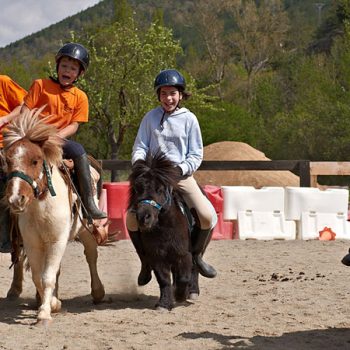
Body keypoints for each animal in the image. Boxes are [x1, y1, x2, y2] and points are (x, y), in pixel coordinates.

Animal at [129, 152, 200, 310]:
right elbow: (164, 280)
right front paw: (164, 303)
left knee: (195, 265)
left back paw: (192, 292)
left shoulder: (183, 255)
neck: (166, 228)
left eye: (160, 189)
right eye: (137, 188)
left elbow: (184, 277)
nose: (144, 217)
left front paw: (180, 296)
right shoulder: (157, 257)